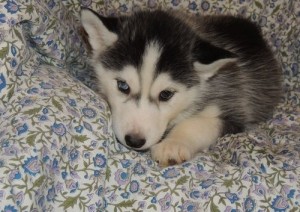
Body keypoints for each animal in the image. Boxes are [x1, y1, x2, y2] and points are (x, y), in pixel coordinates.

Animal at [80, 8, 282, 166]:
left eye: (166, 94)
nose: (135, 140)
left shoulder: (234, 104)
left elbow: (195, 124)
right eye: (123, 85)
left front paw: (172, 145)